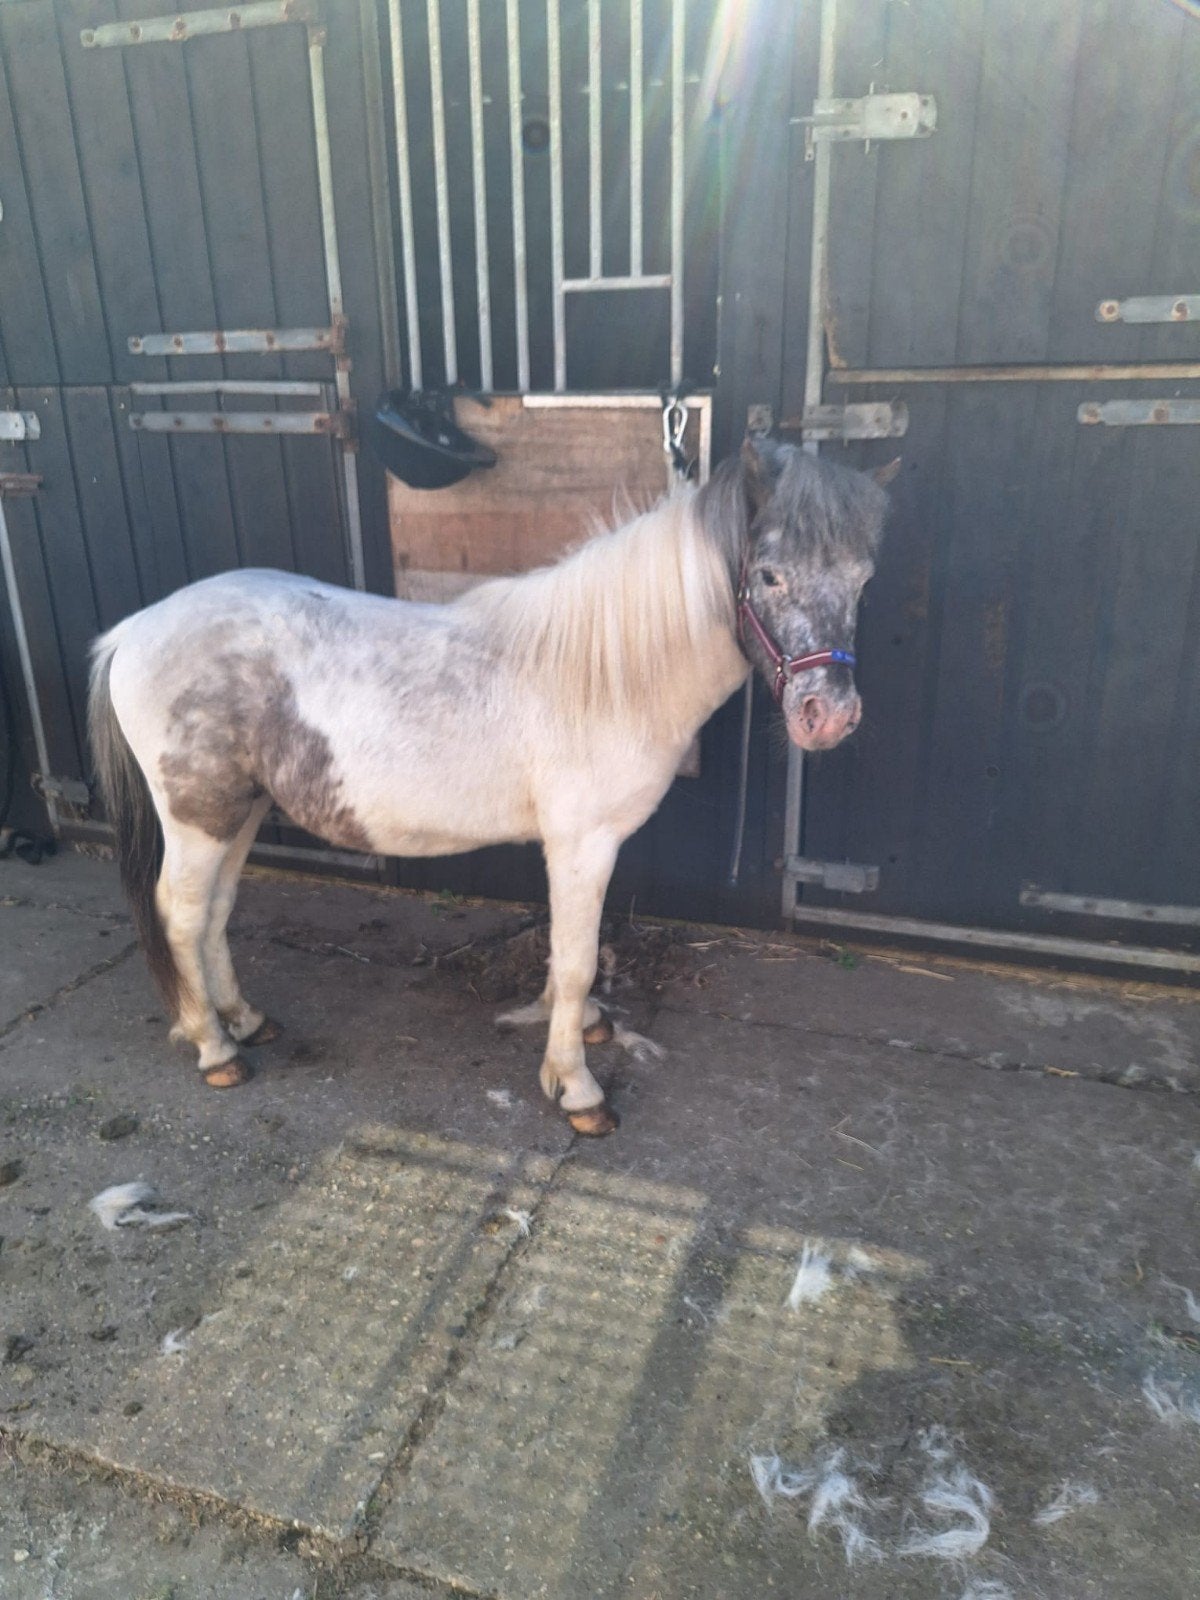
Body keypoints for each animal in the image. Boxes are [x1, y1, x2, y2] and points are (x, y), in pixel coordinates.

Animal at [87, 437, 893, 1136]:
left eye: (863, 581)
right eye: (770, 575)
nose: (830, 716)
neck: (605, 674)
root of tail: (132, 631)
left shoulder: (571, 847)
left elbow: (568, 954)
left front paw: (582, 1029)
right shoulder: (583, 844)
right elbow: (577, 958)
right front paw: (576, 1087)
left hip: (242, 809)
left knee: (217, 911)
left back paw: (244, 1020)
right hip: (199, 816)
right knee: (182, 914)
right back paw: (215, 1049)